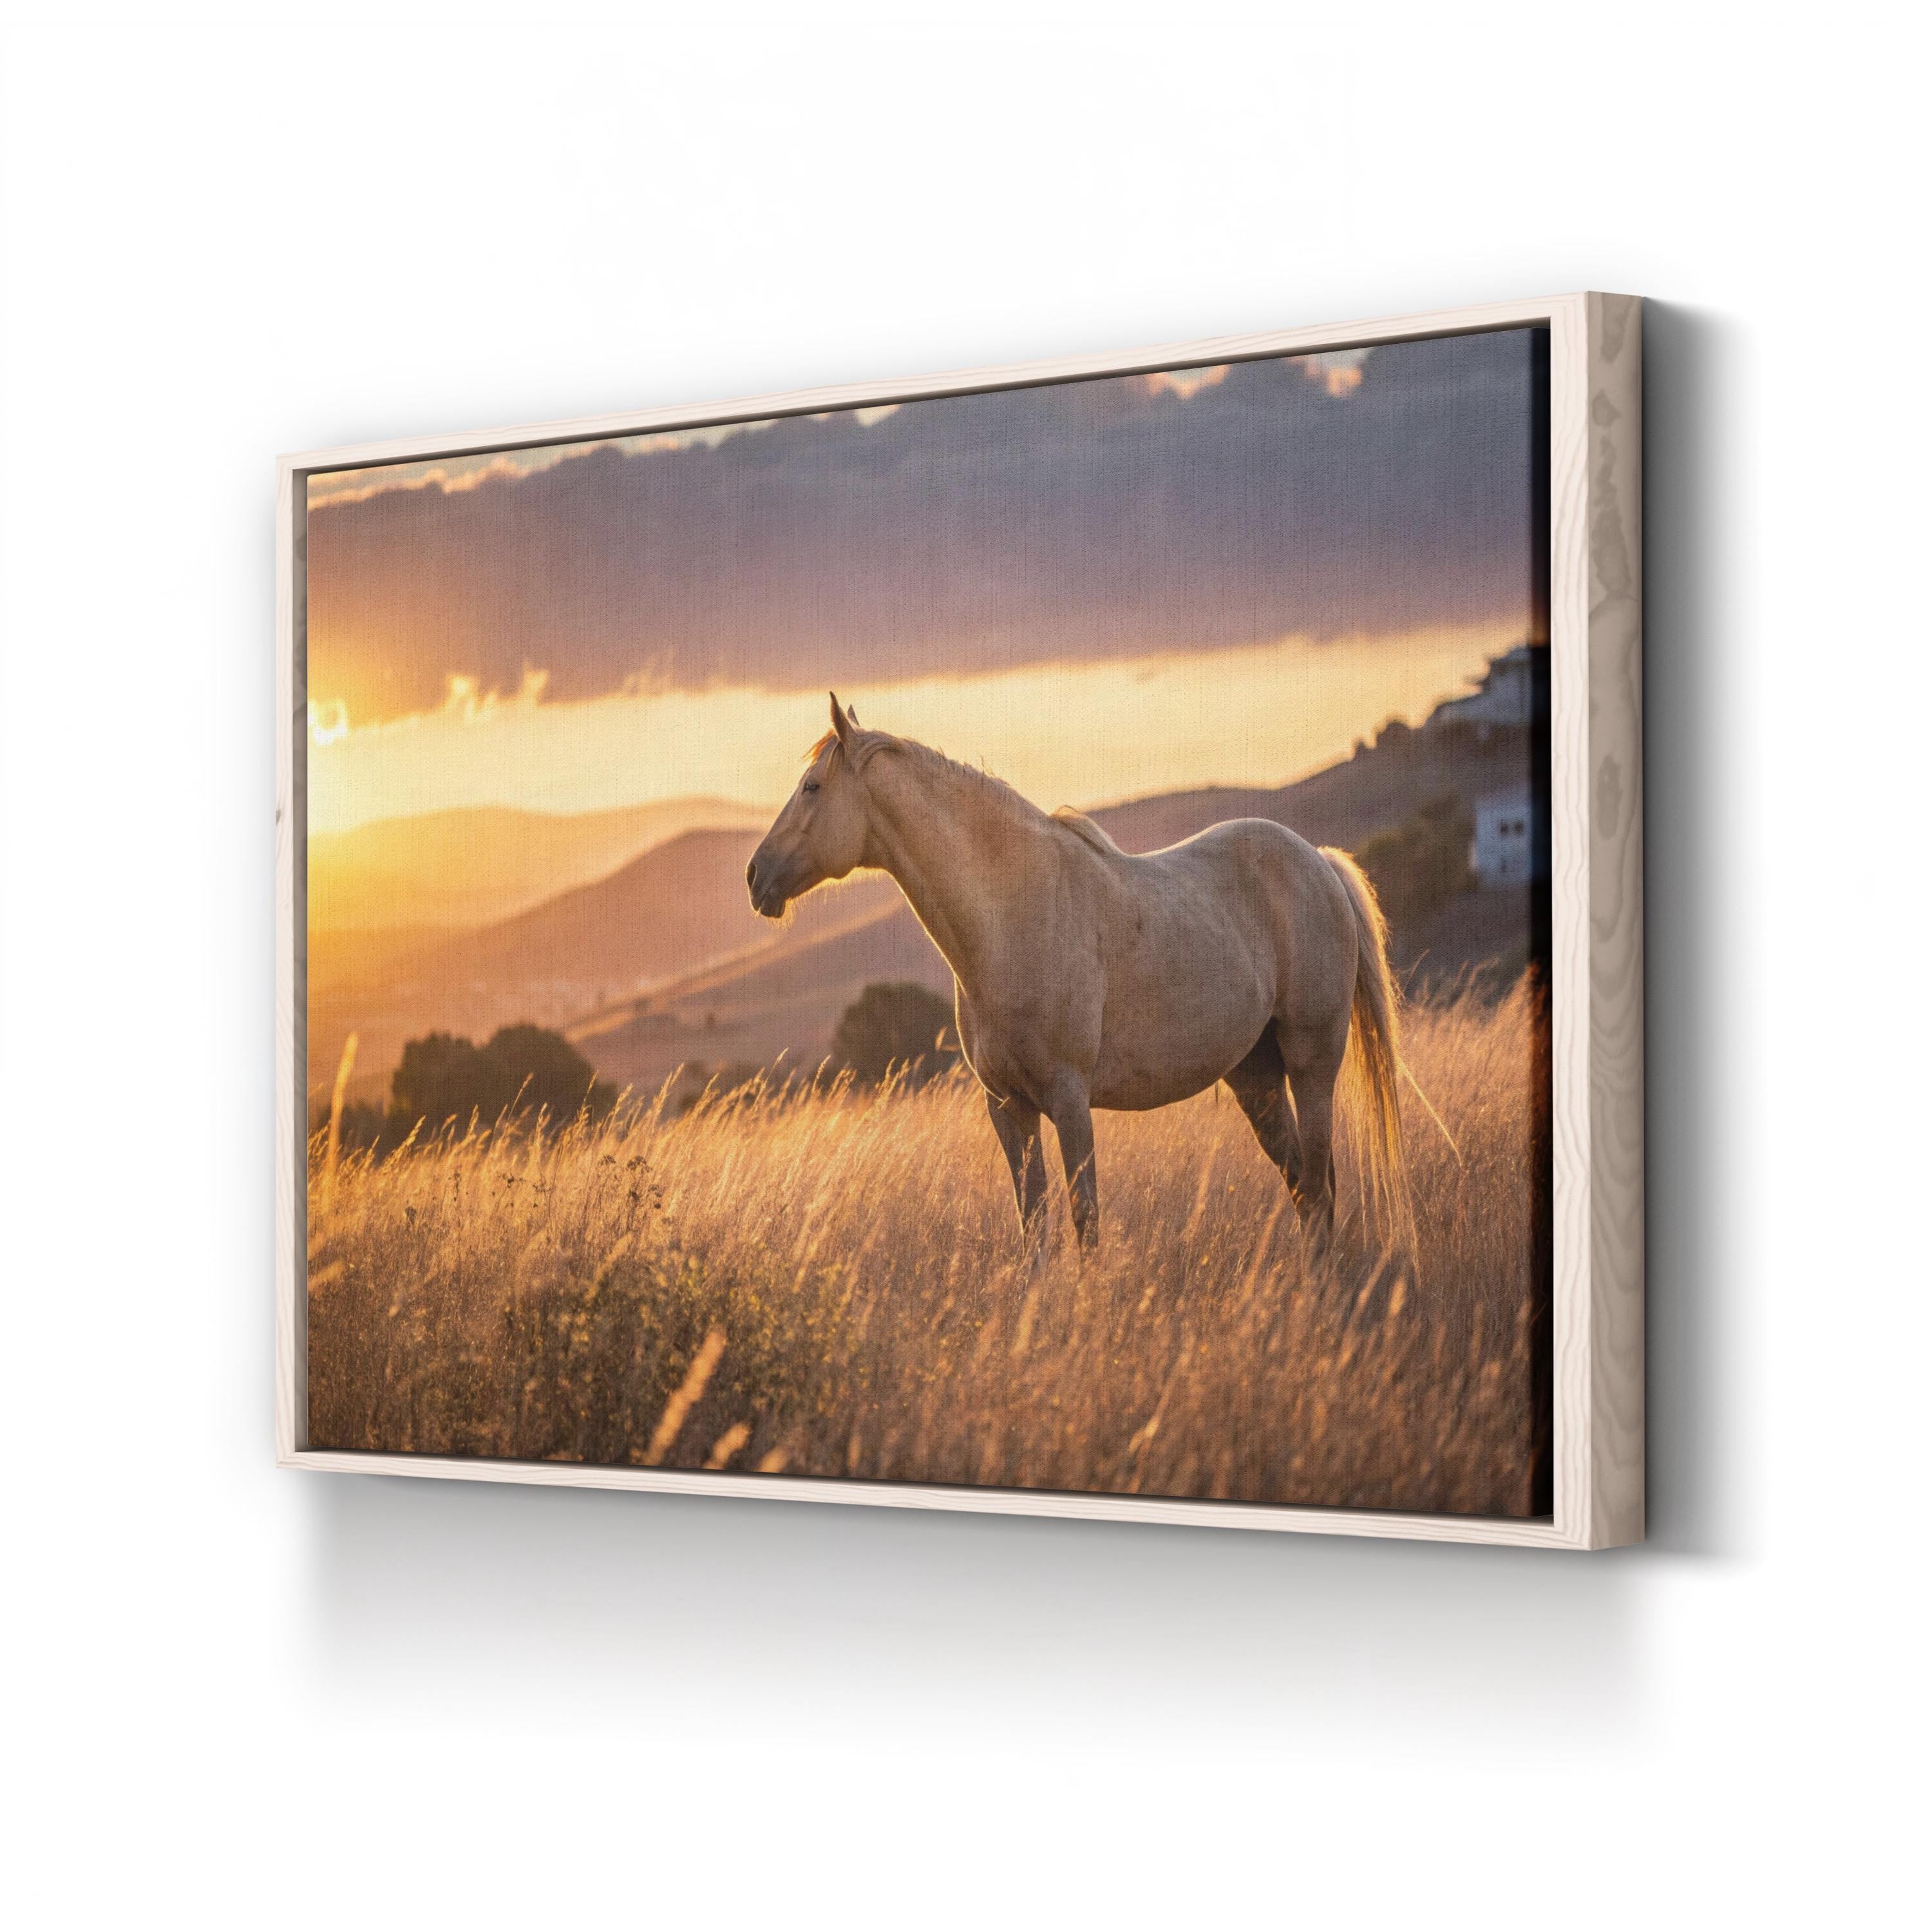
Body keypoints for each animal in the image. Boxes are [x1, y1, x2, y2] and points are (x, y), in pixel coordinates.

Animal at [747, 694, 1414, 1259]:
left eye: (812, 787)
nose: (756, 878)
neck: (1013, 916)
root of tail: (1317, 862)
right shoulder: (1008, 1108)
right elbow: (1034, 1227)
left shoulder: (1069, 1101)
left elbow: (1084, 1221)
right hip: (1256, 1076)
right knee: (1306, 1185)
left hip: (1311, 1063)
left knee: (1319, 1182)